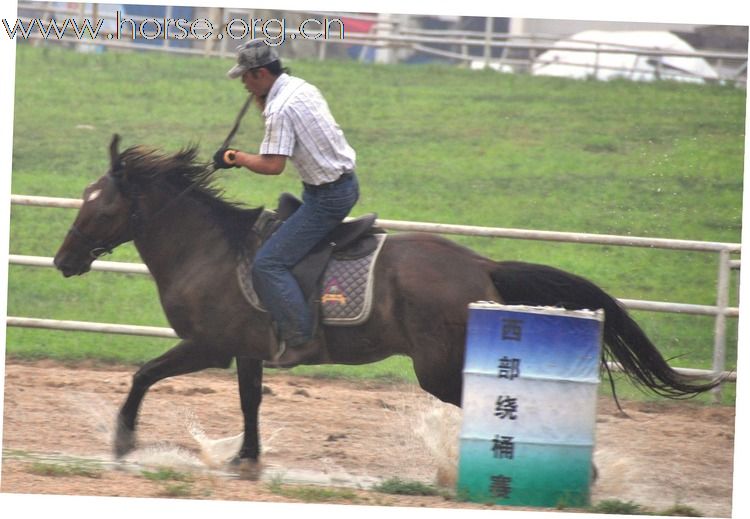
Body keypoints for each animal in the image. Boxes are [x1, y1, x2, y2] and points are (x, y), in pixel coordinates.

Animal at [54, 136, 724, 474]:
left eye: (100, 203)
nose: (63, 260)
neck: (210, 250)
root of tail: (482, 265)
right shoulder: (246, 351)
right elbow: (249, 403)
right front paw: (245, 458)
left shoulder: (210, 346)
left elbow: (143, 375)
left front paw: (123, 442)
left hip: (439, 368)